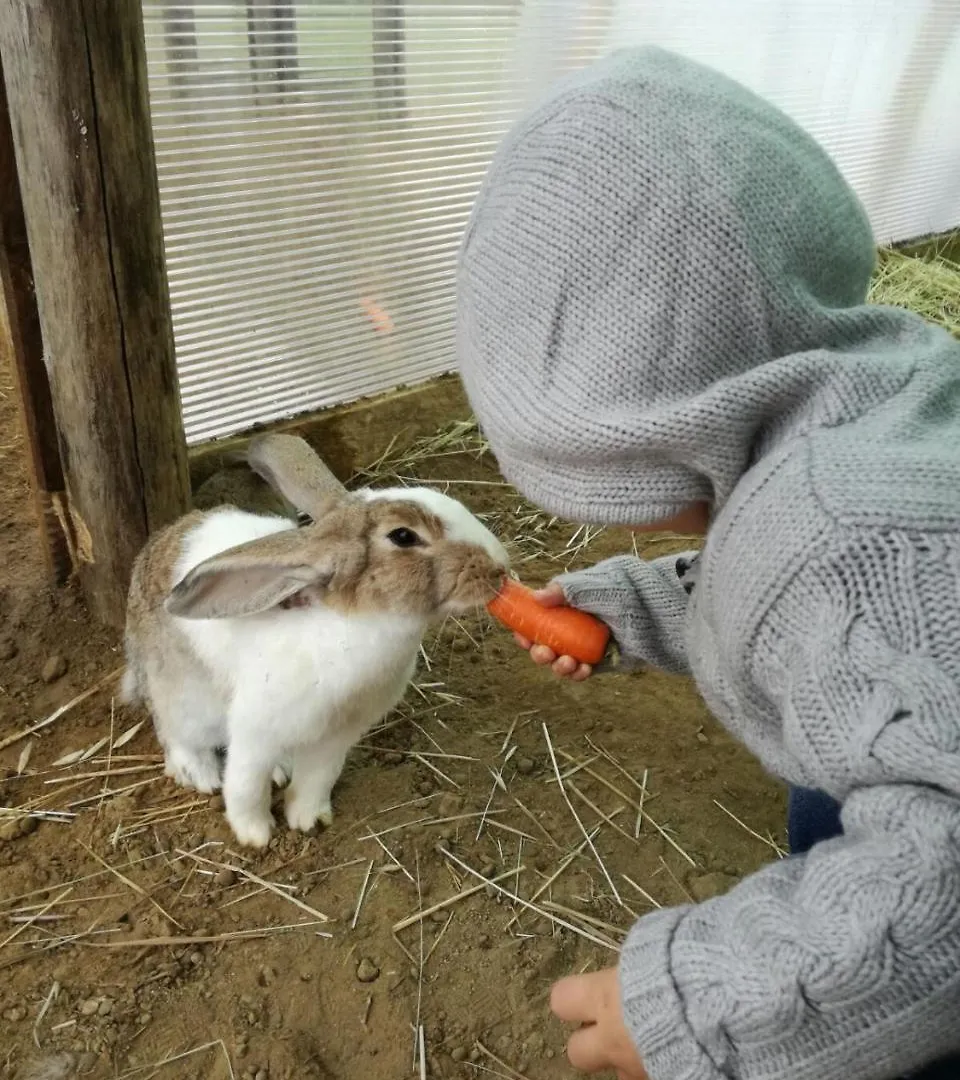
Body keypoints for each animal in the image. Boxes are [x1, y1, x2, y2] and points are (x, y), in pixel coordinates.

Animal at [121, 434, 509, 846]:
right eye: (404, 536)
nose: (500, 567)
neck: (357, 624)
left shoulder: (336, 738)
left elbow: (317, 780)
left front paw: (309, 820)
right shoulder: (255, 731)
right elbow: (245, 787)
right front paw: (255, 835)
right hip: (180, 696)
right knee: (177, 734)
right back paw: (199, 773)